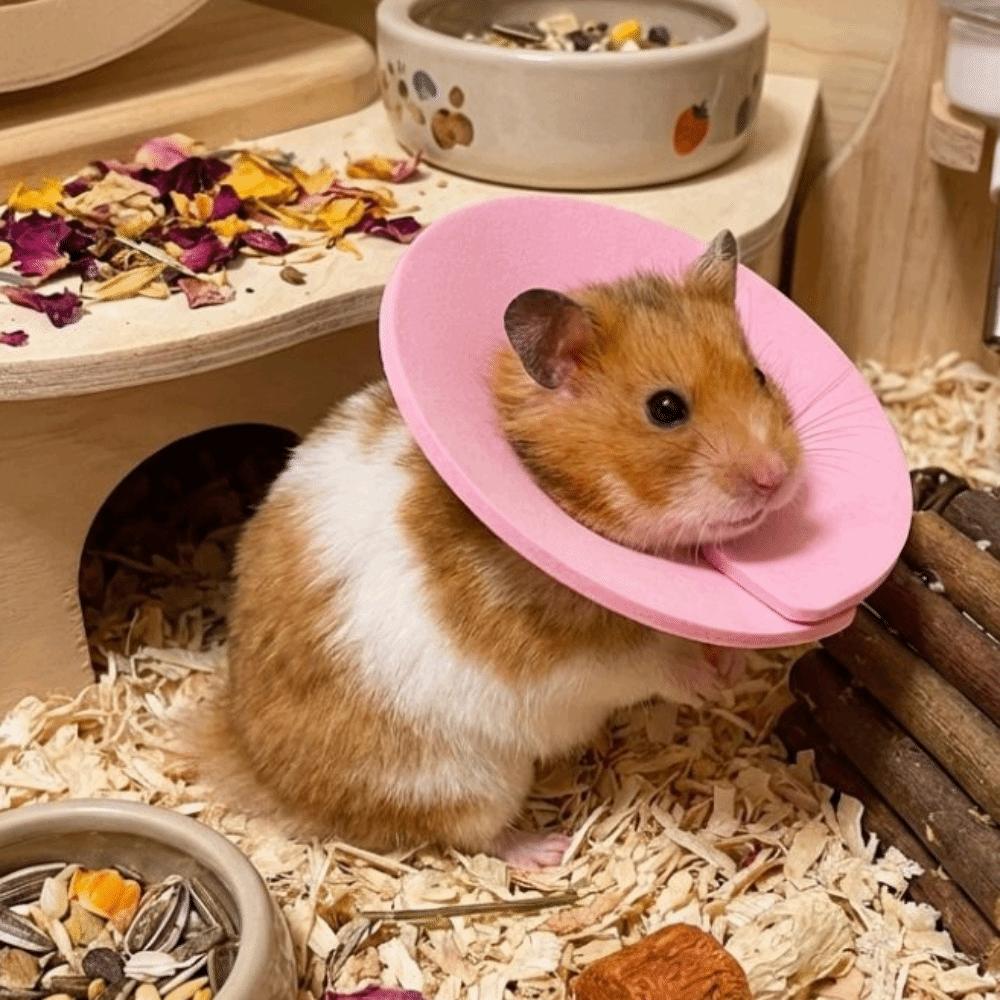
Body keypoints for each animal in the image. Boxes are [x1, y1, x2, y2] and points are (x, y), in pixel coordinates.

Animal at [218, 231, 802, 869]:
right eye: (665, 408)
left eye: (759, 375)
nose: (776, 478)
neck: (555, 488)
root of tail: (261, 770)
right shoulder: (577, 662)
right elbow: (651, 663)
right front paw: (709, 683)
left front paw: (736, 668)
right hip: (465, 779)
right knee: (472, 836)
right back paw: (547, 849)